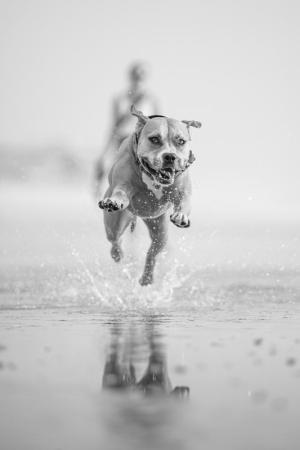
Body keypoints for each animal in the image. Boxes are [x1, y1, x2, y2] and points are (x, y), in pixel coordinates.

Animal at [99, 105, 202, 284]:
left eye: (181, 141)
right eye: (154, 139)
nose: (170, 156)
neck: (153, 178)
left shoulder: (183, 192)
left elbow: (184, 202)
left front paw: (181, 216)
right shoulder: (122, 185)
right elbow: (120, 192)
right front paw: (115, 201)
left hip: (159, 228)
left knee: (153, 251)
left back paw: (146, 278)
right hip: (116, 222)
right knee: (115, 239)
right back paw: (118, 255)